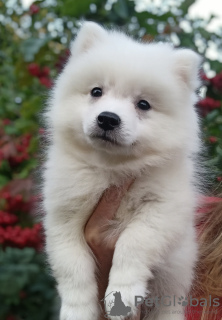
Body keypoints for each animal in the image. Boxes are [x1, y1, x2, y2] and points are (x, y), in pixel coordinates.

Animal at [42, 21, 203, 320]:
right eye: (96, 92)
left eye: (143, 104)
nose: (108, 118)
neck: (112, 169)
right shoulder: (64, 216)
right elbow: (72, 267)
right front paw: (77, 310)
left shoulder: (162, 210)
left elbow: (132, 244)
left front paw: (123, 293)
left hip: (175, 276)